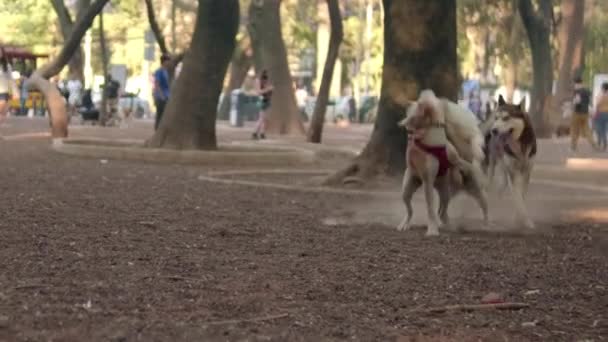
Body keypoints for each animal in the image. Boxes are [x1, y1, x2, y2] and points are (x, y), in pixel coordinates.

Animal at [400, 89, 490, 236]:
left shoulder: (433, 175)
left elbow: (458, 162)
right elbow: (430, 209)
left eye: (417, 106)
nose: (406, 102)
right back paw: (405, 225)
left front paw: (432, 231)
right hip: (410, 189)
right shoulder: (425, 178)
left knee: (483, 206)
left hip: (469, 190)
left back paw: (485, 225)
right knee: (418, 210)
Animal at [484, 95, 536, 230]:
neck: (519, 145)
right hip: (490, 171)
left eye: (506, 118)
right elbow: (518, 199)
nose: (494, 130)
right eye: (497, 118)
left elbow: (521, 197)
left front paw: (519, 220)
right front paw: (525, 220)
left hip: (503, 176)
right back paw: (488, 218)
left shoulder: (526, 172)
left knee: (499, 191)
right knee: (487, 192)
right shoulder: (514, 173)